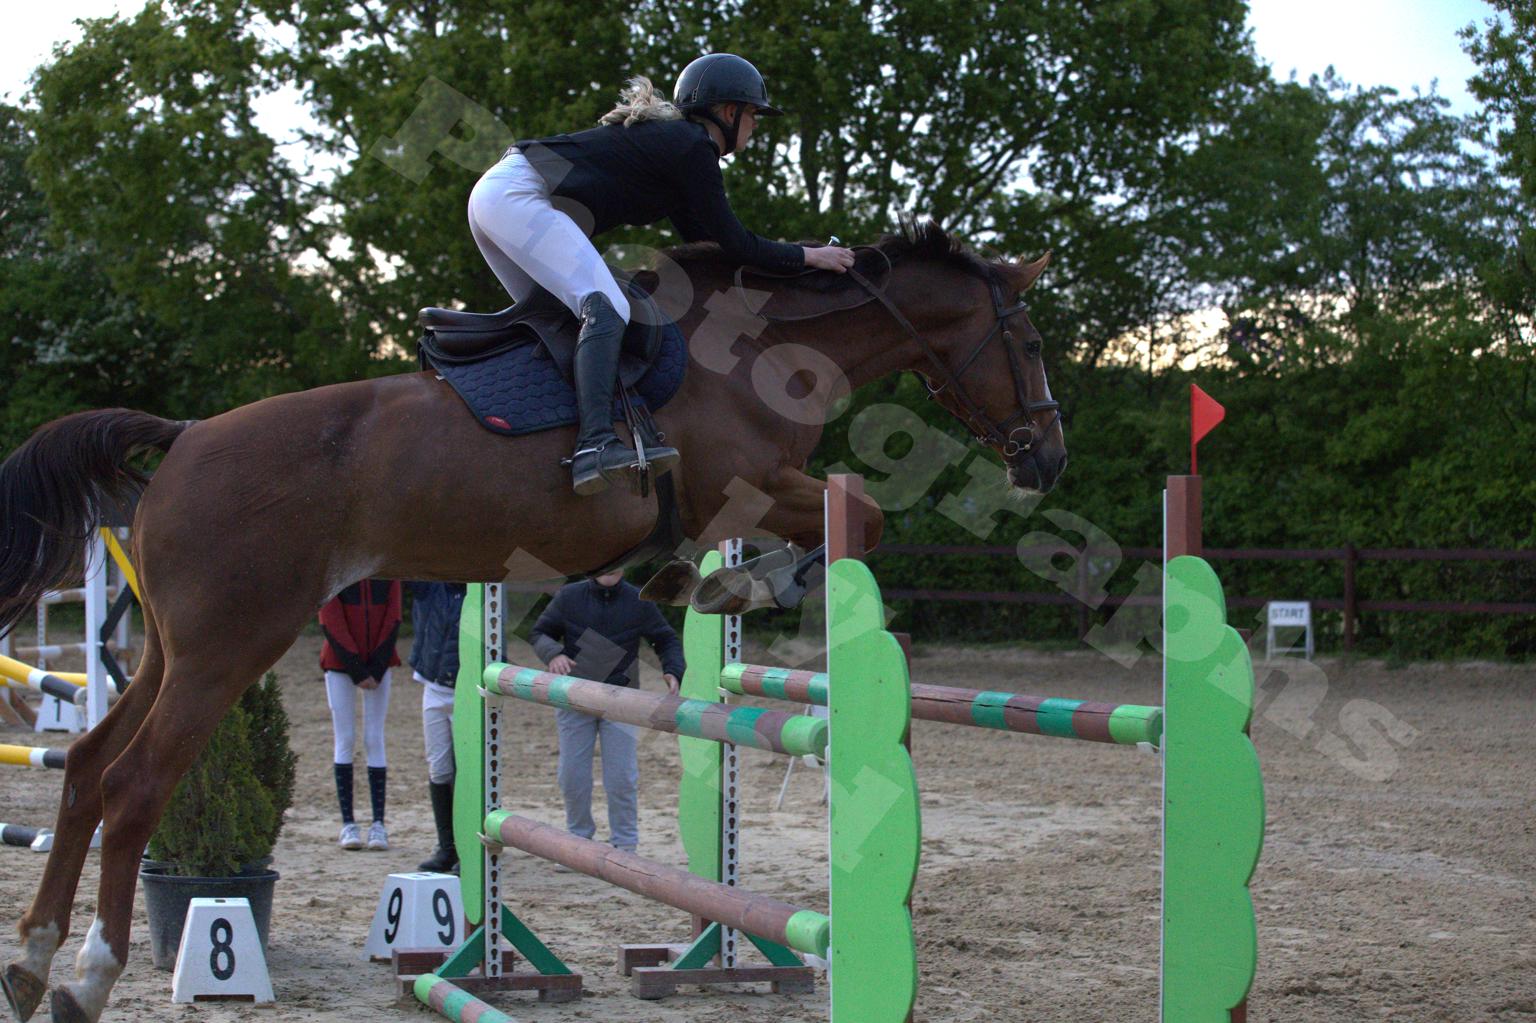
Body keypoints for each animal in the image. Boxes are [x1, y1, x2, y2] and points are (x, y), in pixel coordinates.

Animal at [0, 221, 1064, 1022]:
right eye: (1032, 343)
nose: (1046, 459)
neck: (758, 354)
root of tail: (183, 438)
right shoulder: (750, 483)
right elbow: (864, 517)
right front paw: (746, 583)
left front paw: (710, 582)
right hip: (227, 649)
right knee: (134, 785)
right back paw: (88, 977)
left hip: (171, 651)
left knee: (86, 765)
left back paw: (32, 961)